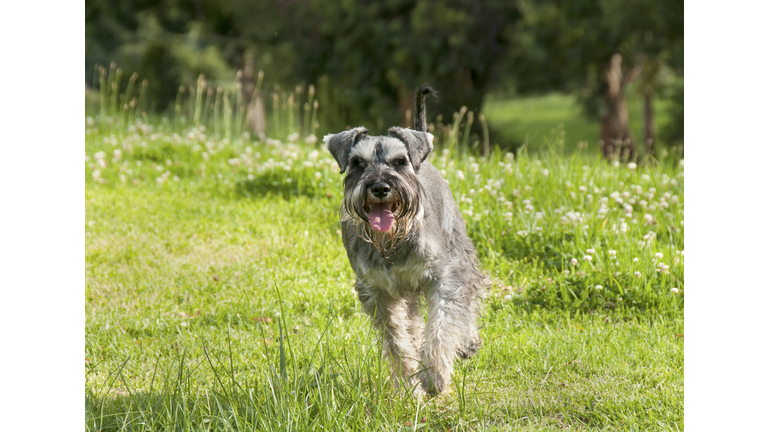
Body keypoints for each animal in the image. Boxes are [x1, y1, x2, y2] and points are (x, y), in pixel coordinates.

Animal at [324, 84, 486, 394]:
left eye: (399, 161)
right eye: (357, 163)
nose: (379, 187)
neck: (390, 243)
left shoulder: (444, 278)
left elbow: (441, 326)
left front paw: (435, 376)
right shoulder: (377, 292)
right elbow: (397, 340)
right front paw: (410, 383)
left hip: (460, 252)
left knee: (468, 302)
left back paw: (468, 343)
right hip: (405, 291)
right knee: (412, 322)